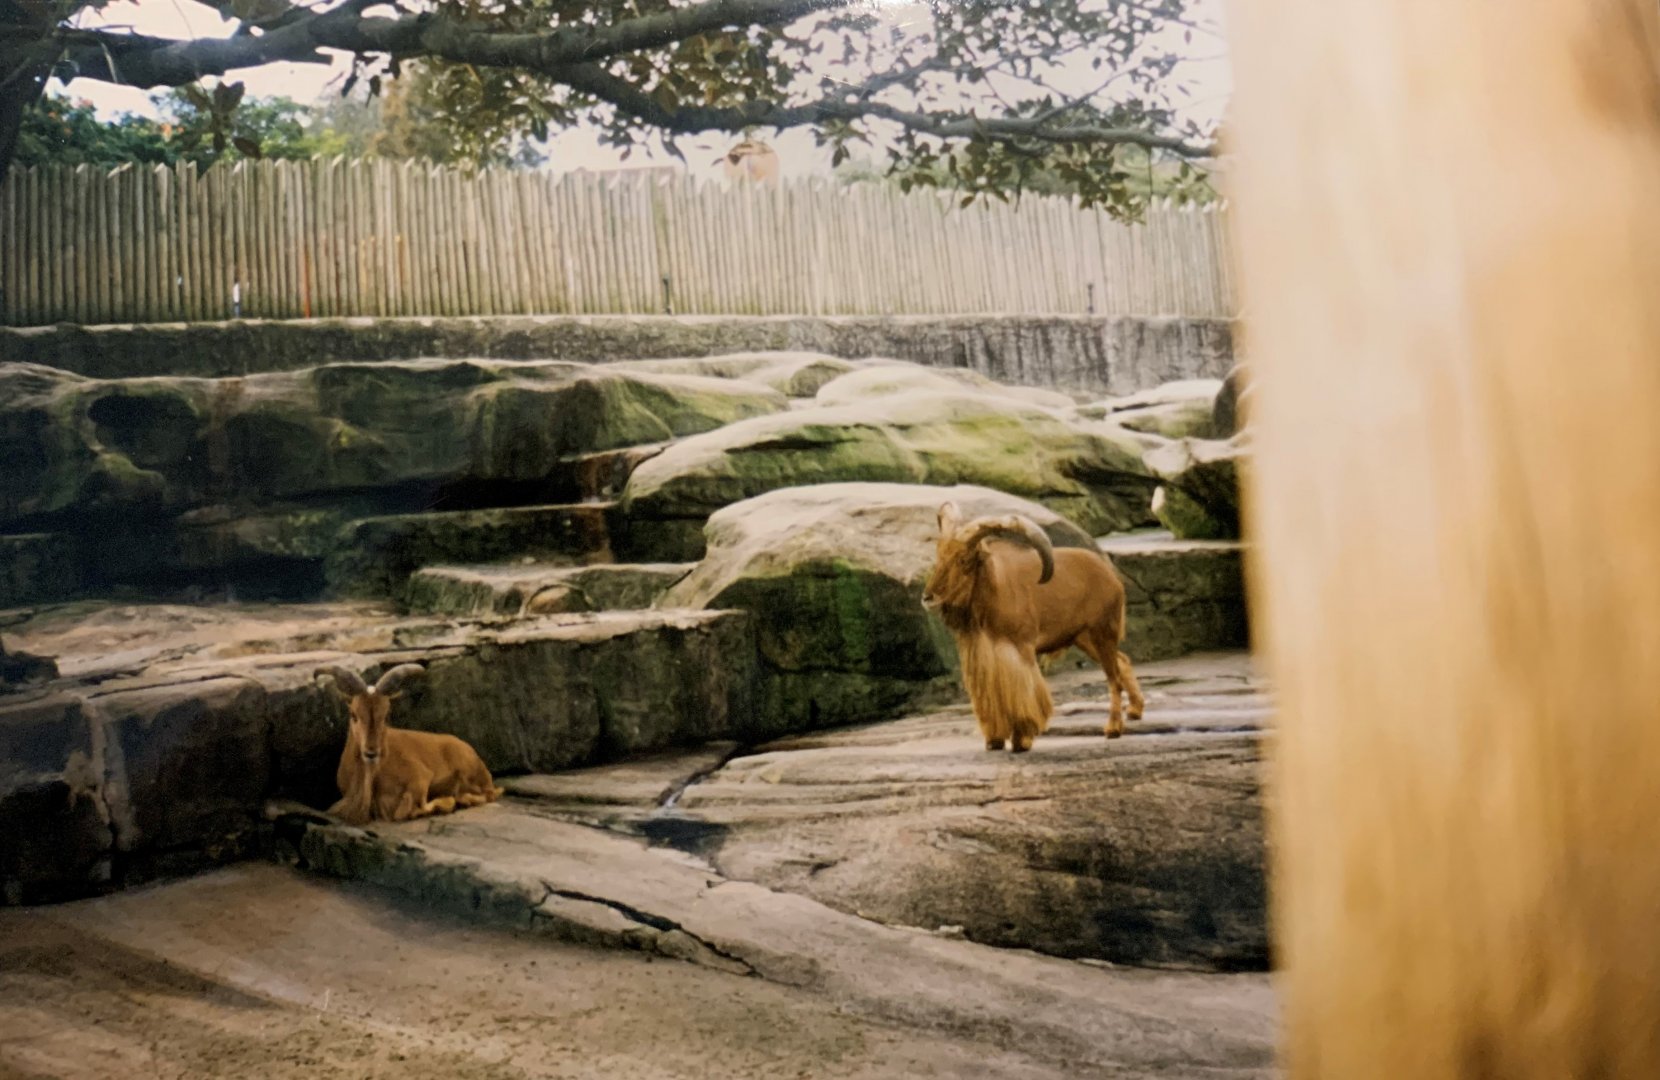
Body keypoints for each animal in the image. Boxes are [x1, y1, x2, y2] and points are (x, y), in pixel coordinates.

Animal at [314, 662, 503, 825]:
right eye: (354, 714)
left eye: (386, 715)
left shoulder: (421, 778)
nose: (371, 753)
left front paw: (445, 803)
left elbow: (407, 810)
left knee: (489, 794)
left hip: (467, 772)